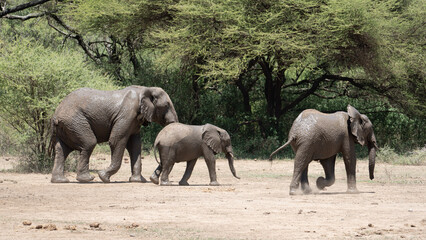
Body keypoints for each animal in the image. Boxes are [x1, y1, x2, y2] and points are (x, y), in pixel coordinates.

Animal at [50, 85, 179, 183]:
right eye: (166, 105)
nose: (153, 179)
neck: (146, 89)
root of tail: (56, 114)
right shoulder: (127, 114)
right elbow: (116, 140)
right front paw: (103, 177)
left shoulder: (134, 121)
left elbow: (135, 146)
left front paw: (138, 180)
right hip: (75, 122)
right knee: (89, 143)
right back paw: (87, 179)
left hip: (66, 126)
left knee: (62, 150)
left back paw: (60, 181)